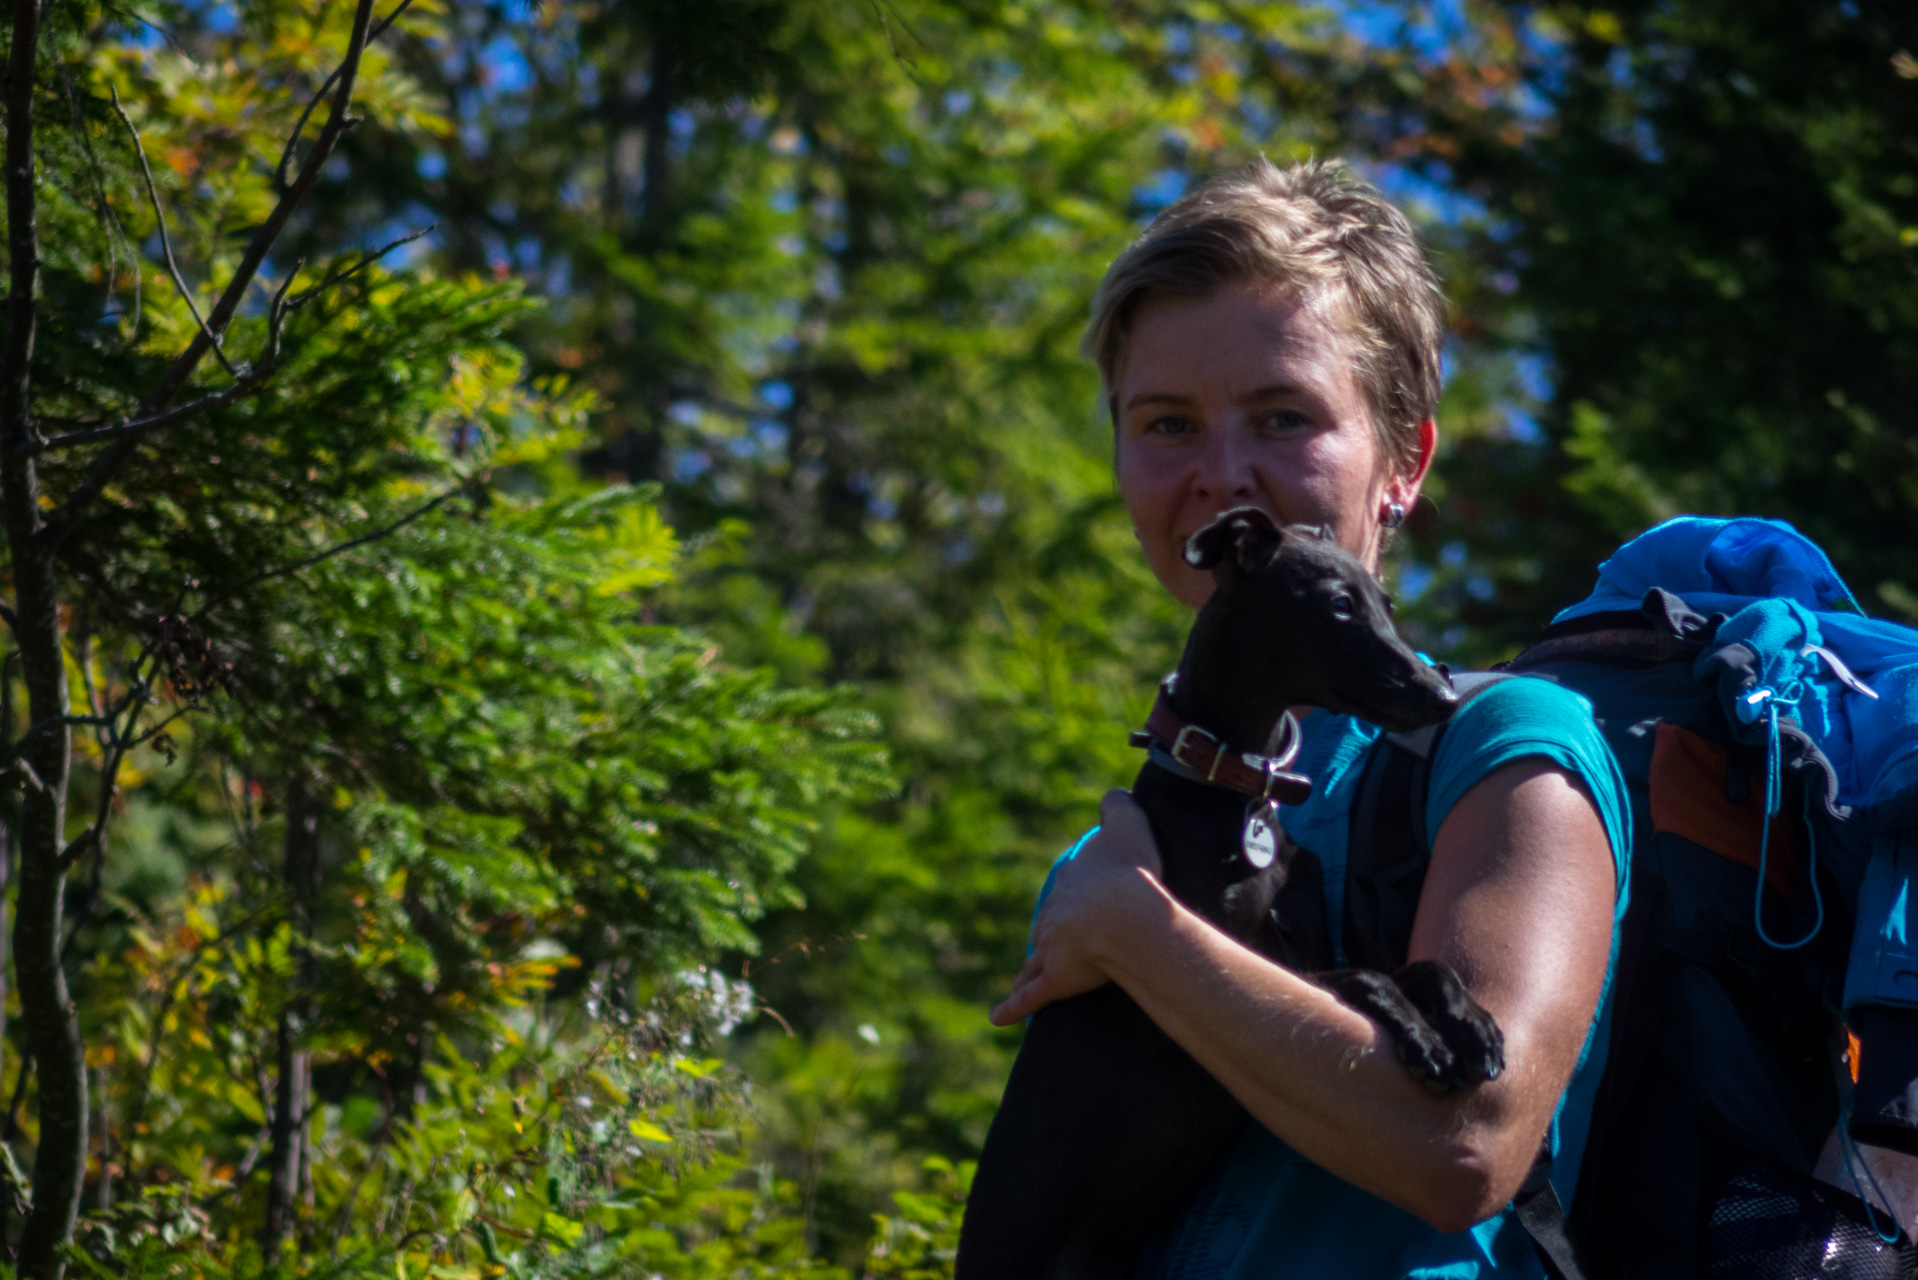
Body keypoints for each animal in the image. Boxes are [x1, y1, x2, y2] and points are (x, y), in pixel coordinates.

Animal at [951, 510, 1503, 1280]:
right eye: (1339, 604)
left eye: (1386, 605)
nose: (1443, 696)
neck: (1232, 794)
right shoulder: (1179, 998)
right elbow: (1349, 976)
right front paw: (1420, 1033)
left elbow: (1413, 963)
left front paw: (1468, 1021)